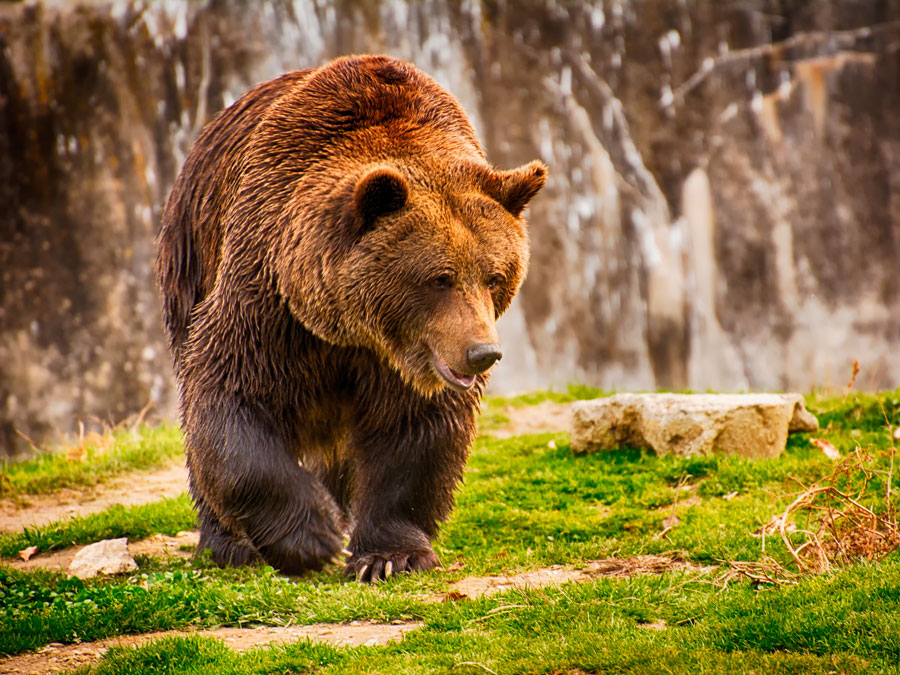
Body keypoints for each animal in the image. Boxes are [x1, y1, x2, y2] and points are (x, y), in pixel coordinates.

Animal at [155, 55, 544, 580]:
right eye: (440, 277)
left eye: (495, 276)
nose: (482, 353)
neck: (350, 329)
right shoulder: (268, 300)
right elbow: (230, 398)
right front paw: (311, 537)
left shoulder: (407, 361)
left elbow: (415, 431)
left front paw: (388, 556)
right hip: (192, 253)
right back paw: (229, 543)